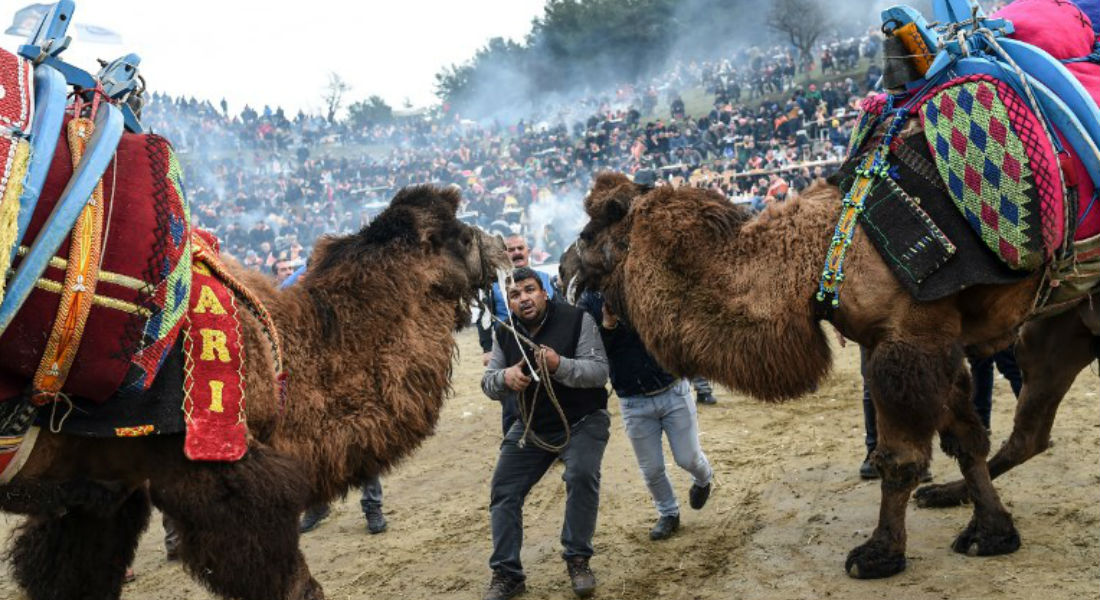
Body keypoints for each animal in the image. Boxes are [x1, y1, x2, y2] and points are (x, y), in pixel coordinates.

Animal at [0, 184, 510, 594]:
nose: (503, 244)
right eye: (461, 236)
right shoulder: (218, 471)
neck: (273, 352)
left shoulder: (98, 489)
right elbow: (288, 581)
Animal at [576, 170, 1100, 576]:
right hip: (1062, 326)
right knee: (1030, 430)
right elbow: (965, 440)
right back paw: (945, 495)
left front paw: (878, 554)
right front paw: (991, 533)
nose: (565, 269)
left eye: (587, 234)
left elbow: (900, 459)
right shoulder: (931, 345)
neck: (823, 250)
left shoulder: (911, 340)